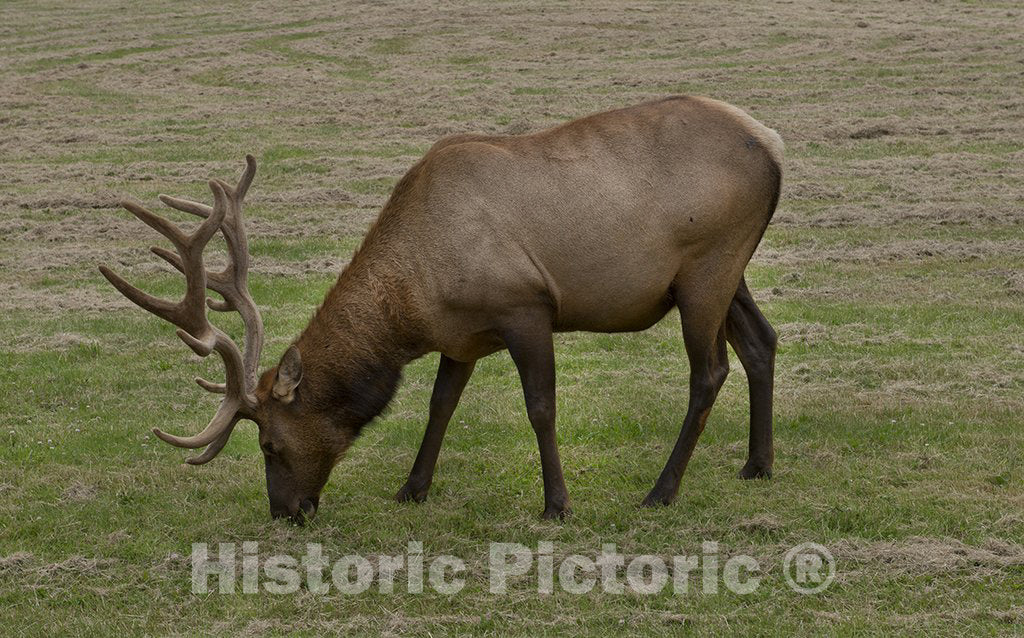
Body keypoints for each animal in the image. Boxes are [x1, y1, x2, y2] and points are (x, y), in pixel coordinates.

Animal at [100, 95, 782, 523]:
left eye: (269, 443)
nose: (286, 513)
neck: (416, 304)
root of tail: (775, 145)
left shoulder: (525, 307)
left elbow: (540, 408)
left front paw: (557, 504)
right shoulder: (461, 336)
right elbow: (439, 406)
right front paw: (411, 488)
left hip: (706, 267)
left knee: (709, 371)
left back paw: (661, 492)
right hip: (729, 272)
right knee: (762, 342)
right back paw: (757, 464)